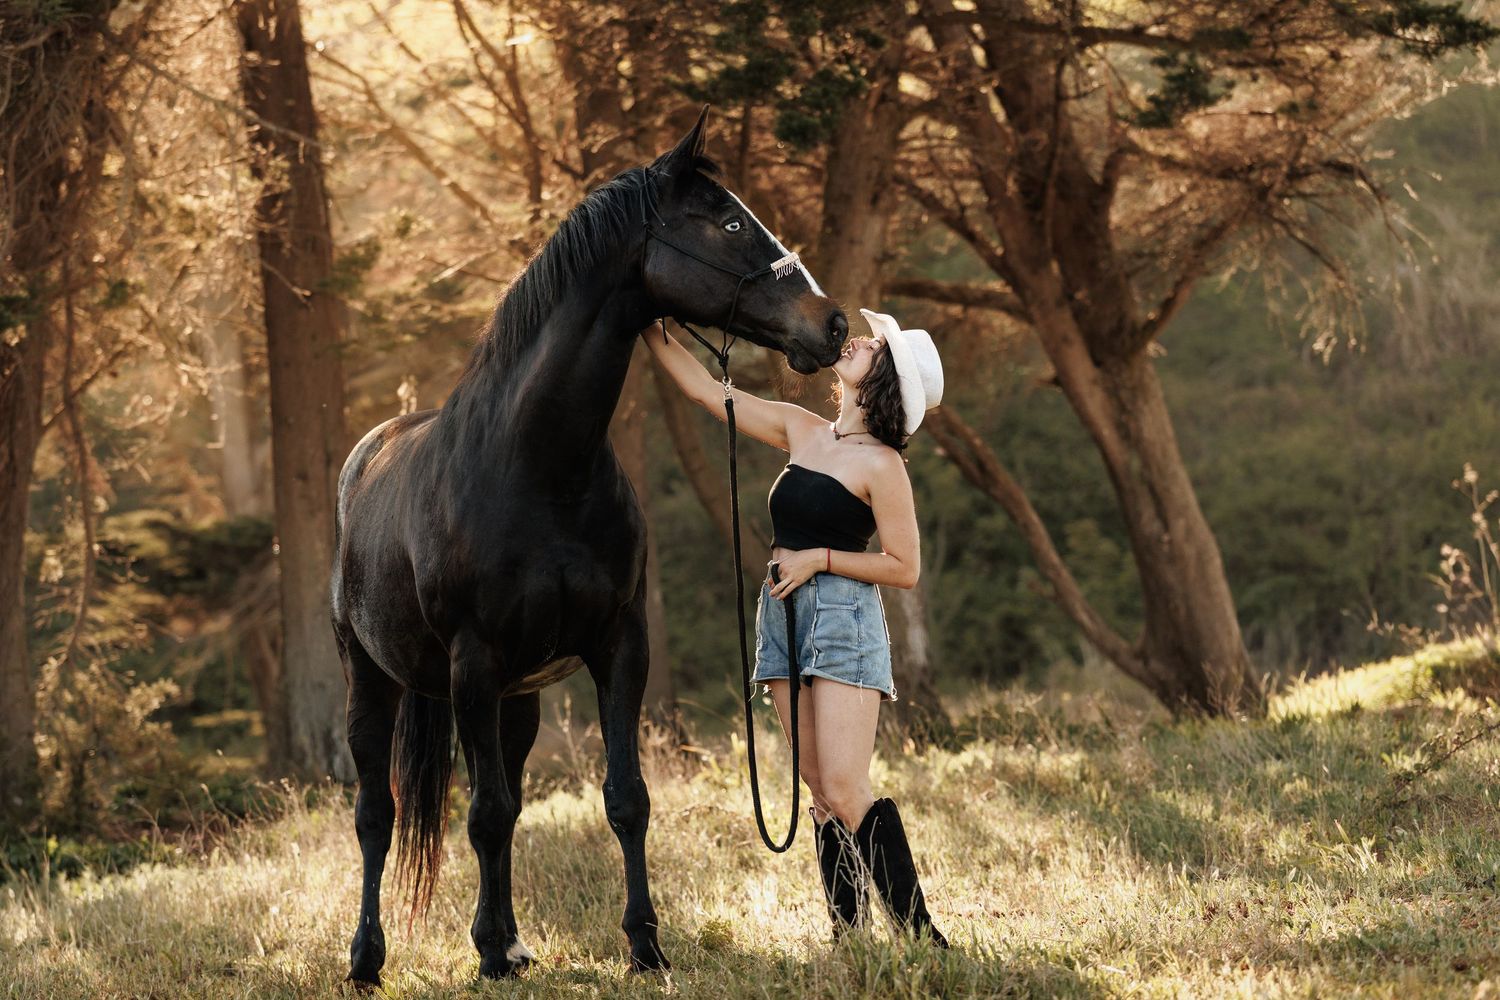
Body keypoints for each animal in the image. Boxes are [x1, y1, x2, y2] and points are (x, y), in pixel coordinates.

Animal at [330, 107, 848, 985]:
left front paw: (643, 944)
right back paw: (369, 958)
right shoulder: (473, 663)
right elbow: (483, 813)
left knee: (498, 803)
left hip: (517, 700)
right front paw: (487, 956)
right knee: (377, 814)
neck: (540, 468)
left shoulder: (617, 646)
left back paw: (509, 939)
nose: (834, 324)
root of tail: (366, 455)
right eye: (728, 222)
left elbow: (622, 799)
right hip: (376, 681)